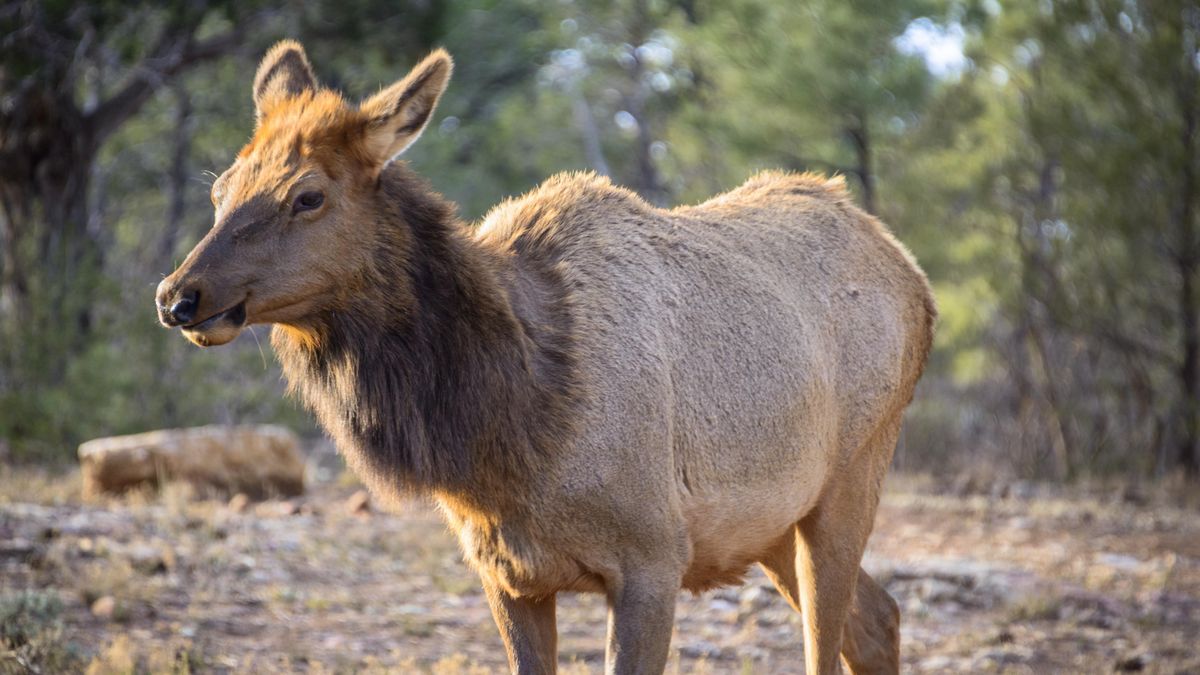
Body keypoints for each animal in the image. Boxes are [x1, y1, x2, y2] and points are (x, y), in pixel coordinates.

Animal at [154, 42, 936, 672]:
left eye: (308, 195)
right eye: (221, 188)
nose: (178, 296)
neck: (515, 428)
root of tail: (914, 277)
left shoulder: (653, 558)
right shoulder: (508, 575)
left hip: (853, 472)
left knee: (835, 636)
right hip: (774, 521)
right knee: (878, 618)